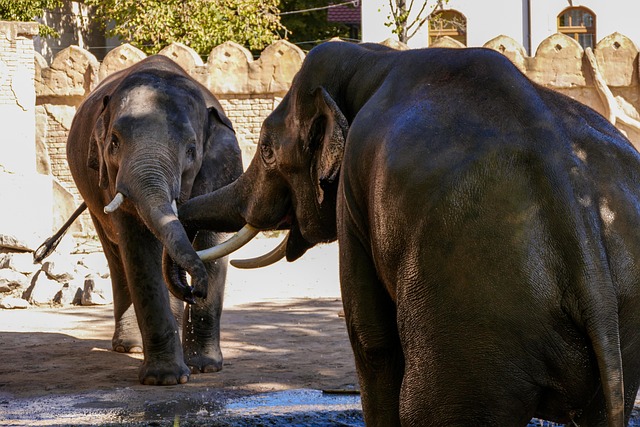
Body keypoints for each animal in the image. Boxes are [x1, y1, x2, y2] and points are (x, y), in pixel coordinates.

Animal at [39, 55, 243, 385]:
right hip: (93, 199)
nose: (194, 291)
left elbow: (214, 239)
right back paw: (130, 347)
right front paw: (166, 379)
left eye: (191, 151)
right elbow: (139, 248)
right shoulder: (111, 182)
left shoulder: (223, 169)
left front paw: (206, 368)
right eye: (113, 143)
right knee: (115, 255)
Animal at [165, 41, 640, 426]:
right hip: (618, 323)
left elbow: (371, 340)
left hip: (475, 315)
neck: (374, 60)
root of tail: (578, 219)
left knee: (427, 409)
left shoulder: (354, 194)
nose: (191, 288)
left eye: (265, 151)